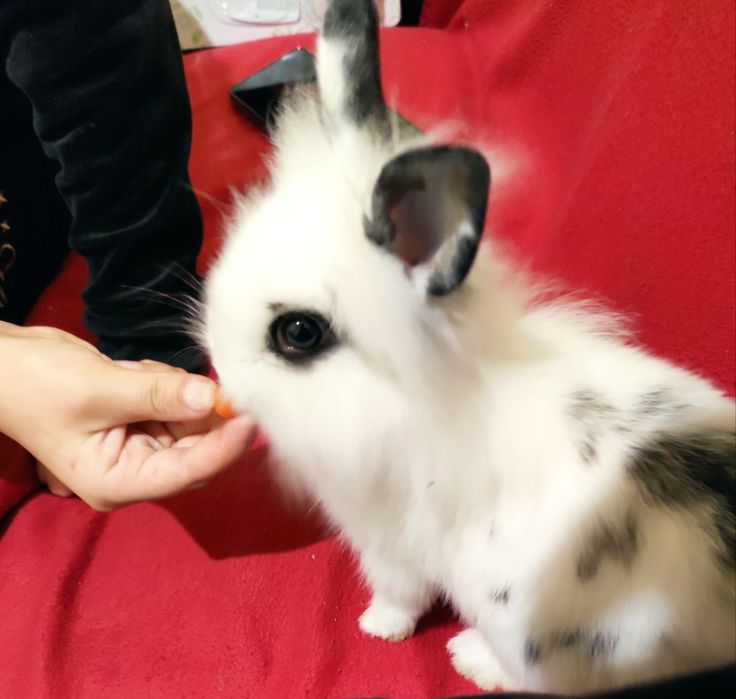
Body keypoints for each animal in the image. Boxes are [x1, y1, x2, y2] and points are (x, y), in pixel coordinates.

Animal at [202, 0, 735, 693]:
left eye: (298, 332)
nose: (221, 375)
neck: (421, 392)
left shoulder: (391, 543)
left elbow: (399, 592)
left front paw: (379, 627)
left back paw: (468, 656)